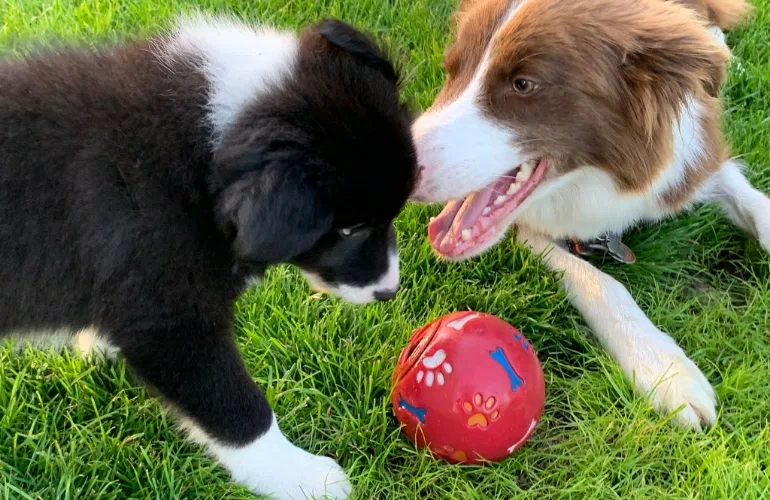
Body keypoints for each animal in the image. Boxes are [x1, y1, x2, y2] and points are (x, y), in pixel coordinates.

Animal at [1, 13, 414, 498]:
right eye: (350, 229)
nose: (389, 291)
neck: (204, 145)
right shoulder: (173, 322)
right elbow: (237, 408)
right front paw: (303, 476)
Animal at [412, 0, 764, 430]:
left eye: (523, 84)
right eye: (452, 69)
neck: (598, 177)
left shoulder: (693, 163)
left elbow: (756, 206)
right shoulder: (530, 228)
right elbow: (599, 281)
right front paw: (664, 366)